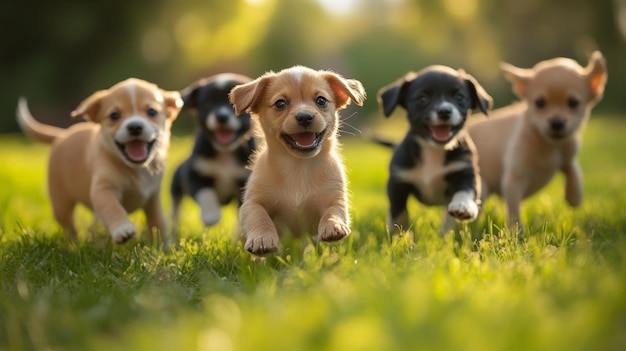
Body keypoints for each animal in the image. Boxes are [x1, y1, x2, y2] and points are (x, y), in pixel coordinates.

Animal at [17, 78, 182, 246]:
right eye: (114, 115)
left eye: (152, 112)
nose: (135, 126)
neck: (134, 169)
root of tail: (61, 135)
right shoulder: (103, 189)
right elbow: (113, 207)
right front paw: (122, 229)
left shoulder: (152, 198)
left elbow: (158, 221)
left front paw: (163, 245)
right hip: (61, 203)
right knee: (69, 226)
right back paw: (74, 244)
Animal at [169, 73, 255, 230]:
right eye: (208, 103)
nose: (221, 117)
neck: (225, 153)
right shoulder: (194, 174)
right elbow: (206, 193)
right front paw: (211, 215)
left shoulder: (244, 179)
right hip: (176, 183)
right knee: (175, 207)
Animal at [228, 66, 366, 256]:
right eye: (280, 104)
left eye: (321, 100)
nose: (305, 117)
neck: (298, 166)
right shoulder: (252, 202)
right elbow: (259, 216)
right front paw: (261, 239)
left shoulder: (334, 197)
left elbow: (333, 211)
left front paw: (333, 225)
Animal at [376, 66, 492, 235]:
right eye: (423, 99)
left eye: (459, 97)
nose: (444, 111)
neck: (433, 150)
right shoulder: (397, 182)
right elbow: (399, 213)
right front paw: (400, 235)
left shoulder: (465, 171)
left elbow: (466, 190)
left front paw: (463, 205)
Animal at [468, 51, 604, 228]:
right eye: (539, 103)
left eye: (574, 103)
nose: (557, 123)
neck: (548, 144)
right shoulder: (513, 180)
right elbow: (514, 211)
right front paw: (516, 232)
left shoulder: (568, 154)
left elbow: (573, 169)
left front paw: (574, 195)